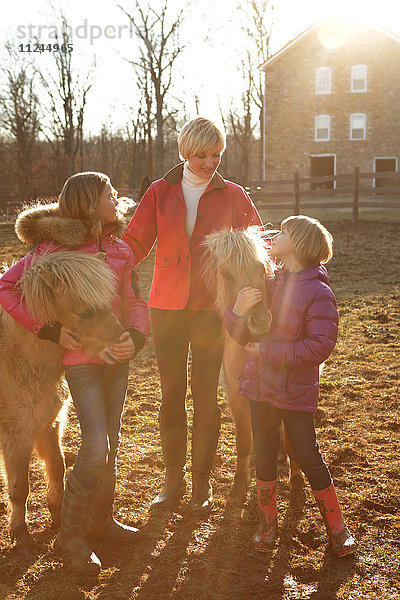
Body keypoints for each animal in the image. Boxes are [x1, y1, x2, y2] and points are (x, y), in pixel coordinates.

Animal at [202, 227, 304, 494]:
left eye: (260, 268)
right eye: (227, 274)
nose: (259, 321)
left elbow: (291, 440)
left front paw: (297, 478)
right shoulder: (236, 396)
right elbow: (244, 441)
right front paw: (239, 483)